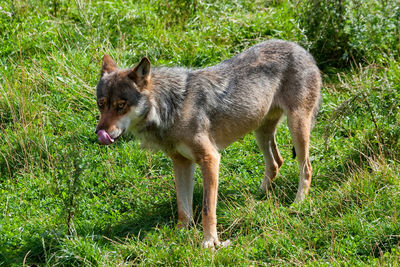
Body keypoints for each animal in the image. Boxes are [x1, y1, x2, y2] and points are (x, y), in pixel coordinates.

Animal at [96, 39, 322, 249]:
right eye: (101, 104)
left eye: (121, 106)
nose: (99, 132)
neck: (171, 107)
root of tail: (303, 50)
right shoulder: (181, 162)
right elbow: (183, 207)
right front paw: (179, 234)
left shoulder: (210, 158)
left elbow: (207, 209)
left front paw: (210, 242)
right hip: (260, 132)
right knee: (276, 162)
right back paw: (259, 195)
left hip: (297, 127)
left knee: (307, 168)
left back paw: (297, 203)